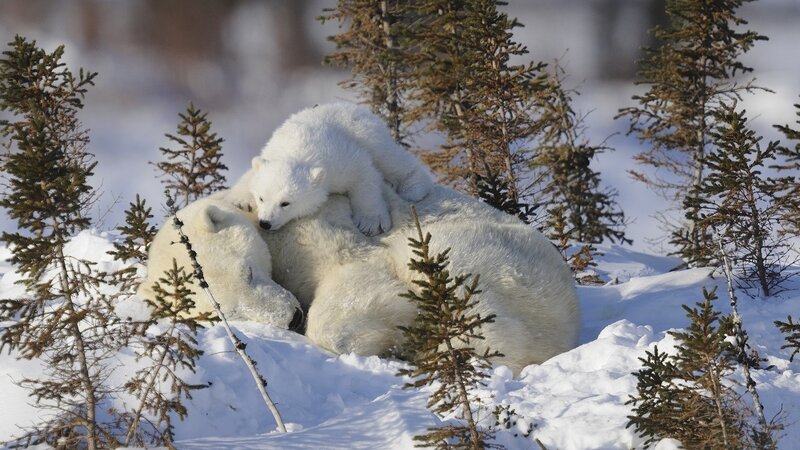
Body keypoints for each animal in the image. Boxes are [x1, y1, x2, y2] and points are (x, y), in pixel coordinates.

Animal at [228, 103, 434, 236]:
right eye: (261, 198)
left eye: (285, 203)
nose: (265, 223)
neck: (297, 150)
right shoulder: (271, 150)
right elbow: (251, 174)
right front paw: (241, 199)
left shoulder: (341, 159)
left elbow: (364, 175)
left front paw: (371, 223)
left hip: (367, 133)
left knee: (389, 158)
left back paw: (413, 187)